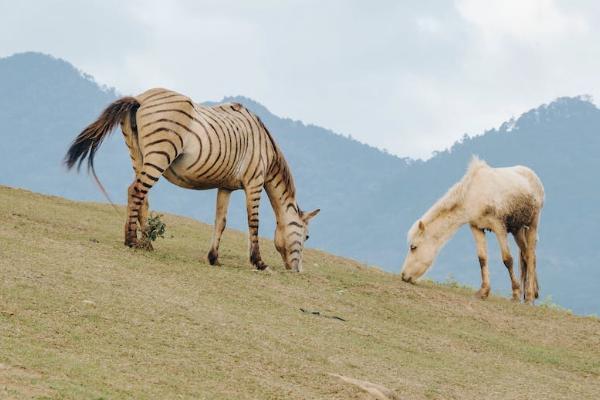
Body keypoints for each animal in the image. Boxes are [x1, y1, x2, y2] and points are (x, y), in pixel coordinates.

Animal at [65, 87, 318, 272]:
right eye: (307, 236)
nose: (298, 271)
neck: (265, 148)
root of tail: (140, 98)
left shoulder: (225, 186)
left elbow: (220, 221)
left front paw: (213, 258)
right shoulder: (254, 182)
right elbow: (253, 222)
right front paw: (258, 262)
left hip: (138, 154)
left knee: (141, 195)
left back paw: (146, 243)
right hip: (160, 153)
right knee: (136, 191)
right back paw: (131, 241)